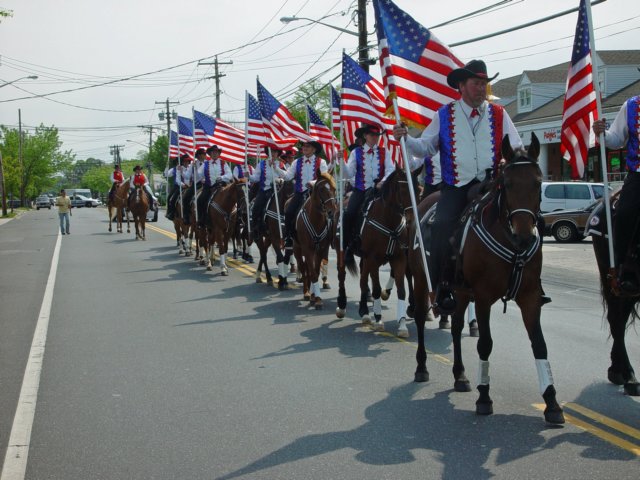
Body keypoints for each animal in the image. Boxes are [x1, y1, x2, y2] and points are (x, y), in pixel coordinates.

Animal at [292, 171, 338, 310]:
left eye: (334, 189)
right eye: (321, 189)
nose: (332, 211)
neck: (316, 220)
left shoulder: (321, 249)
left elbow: (316, 272)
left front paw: (317, 298)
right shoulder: (307, 249)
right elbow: (311, 273)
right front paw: (315, 298)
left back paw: (311, 294)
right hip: (297, 249)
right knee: (303, 267)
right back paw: (306, 293)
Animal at [340, 168, 416, 338]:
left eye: (417, 189)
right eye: (402, 190)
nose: (412, 220)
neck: (389, 220)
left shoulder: (399, 259)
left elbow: (401, 291)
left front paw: (402, 325)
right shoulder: (373, 259)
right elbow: (375, 289)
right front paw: (379, 319)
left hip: (365, 259)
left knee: (363, 280)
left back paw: (364, 311)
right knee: (344, 277)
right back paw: (342, 306)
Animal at [408, 134, 564, 424]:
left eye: (538, 182)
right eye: (508, 184)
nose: (524, 235)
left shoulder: (529, 297)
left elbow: (540, 345)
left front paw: (552, 402)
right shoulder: (482, 297)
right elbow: (485, 344)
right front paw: (484, 397)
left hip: (459, 292)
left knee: (456, 327)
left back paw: (460, 375)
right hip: (422, 280)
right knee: (422, 318)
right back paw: (421, 366)